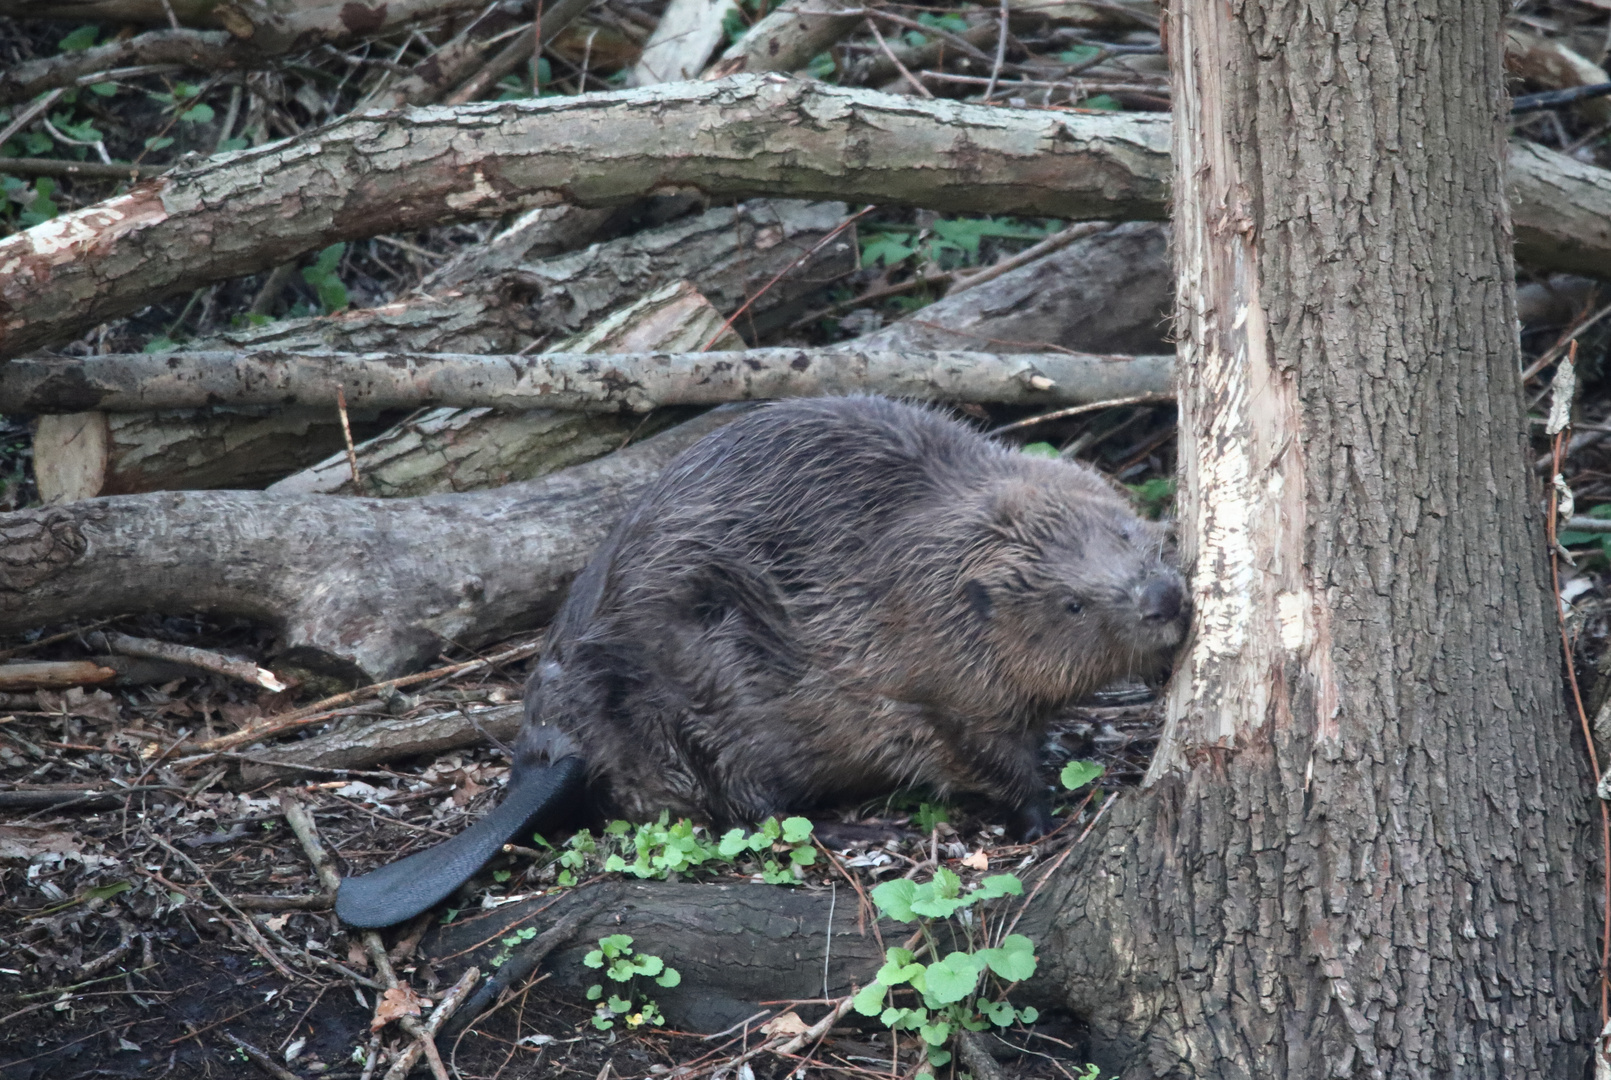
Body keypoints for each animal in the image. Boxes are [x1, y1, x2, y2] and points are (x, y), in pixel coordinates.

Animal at [336, 398, 1185, 928]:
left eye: (1129, 534)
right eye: (1071, 604)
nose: (1164, 597)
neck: (926, 567)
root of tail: (552, 754)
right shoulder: (923, 685)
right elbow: (980, 752)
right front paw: (1041, 809)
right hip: (710, 693)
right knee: (746, 804)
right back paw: (846, 826)